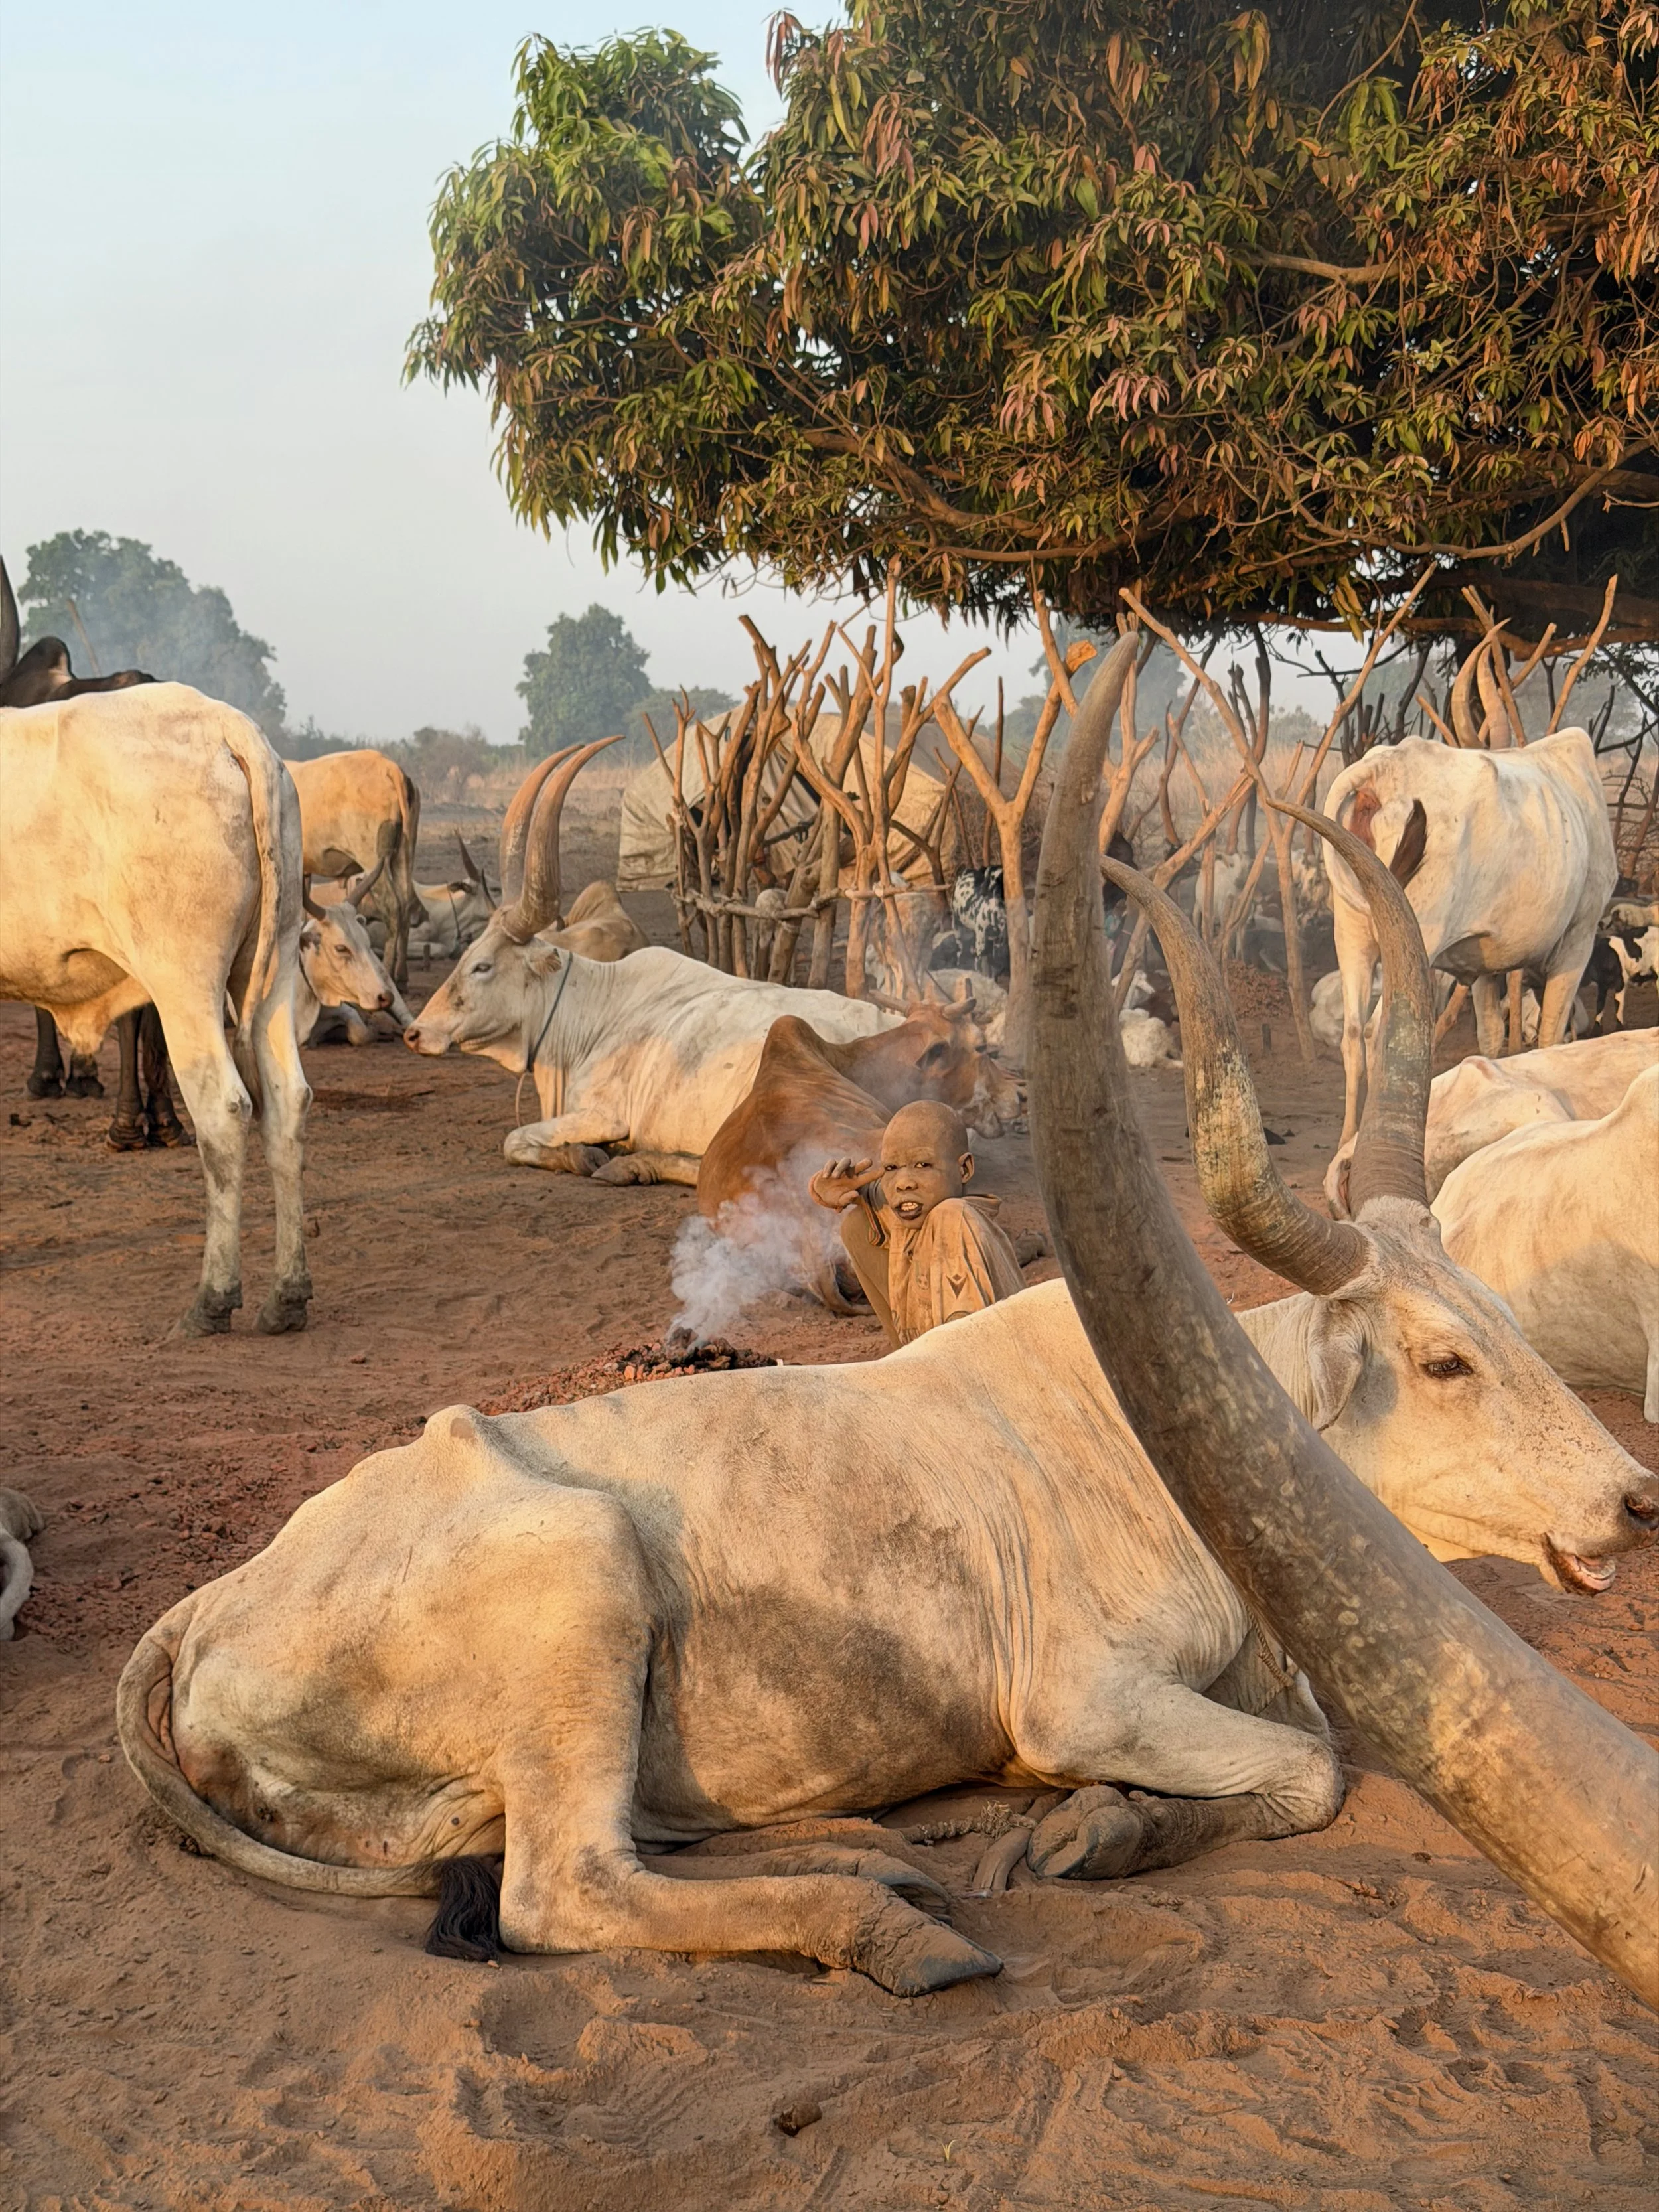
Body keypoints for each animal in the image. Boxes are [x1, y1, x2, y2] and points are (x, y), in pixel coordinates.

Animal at [1, 680, 312, 1335]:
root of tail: (224, 725)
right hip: (272, 966)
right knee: (287, 1103)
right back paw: (287, 1296)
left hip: (183, 982)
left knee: (224, 1111)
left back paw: (213, 1298)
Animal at [283, 750, 421, 989]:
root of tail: (391, 769)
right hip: (405, 854)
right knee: (405, 903)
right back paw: (402, 975)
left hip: (372, 857)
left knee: (393, 907)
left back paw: (387, 972)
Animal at [405, 748, 899, 1178]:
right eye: (467, 954)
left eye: (483, 967)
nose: (415, 1033)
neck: (588, 1011)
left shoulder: (603, 1114)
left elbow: (515, 1140)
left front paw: (586, 1155)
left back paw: (631, 1164)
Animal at [1322, 731, 1617, 1151]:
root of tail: (1381, 768)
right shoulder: (1579, 937)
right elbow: (1551, 1032)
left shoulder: (1485, 965)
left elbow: (1491, 1033)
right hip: (1416, 932)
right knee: (1380, 1031)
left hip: (1351, 936)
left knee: (1352, 1033)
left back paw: (1348, 1139)